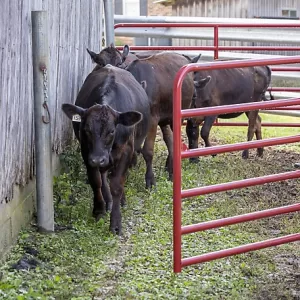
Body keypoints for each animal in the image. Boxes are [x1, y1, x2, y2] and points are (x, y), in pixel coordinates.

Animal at [61, 65, 150, 234]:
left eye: (111, 131)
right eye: (87, 129)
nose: (98, 159)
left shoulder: (127, 150)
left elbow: (117, 185)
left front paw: (115, 222)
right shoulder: (86, 151)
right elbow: (96, 181)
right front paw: (99, 210)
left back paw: (120, 200)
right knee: (103, 175)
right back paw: (108, 201)